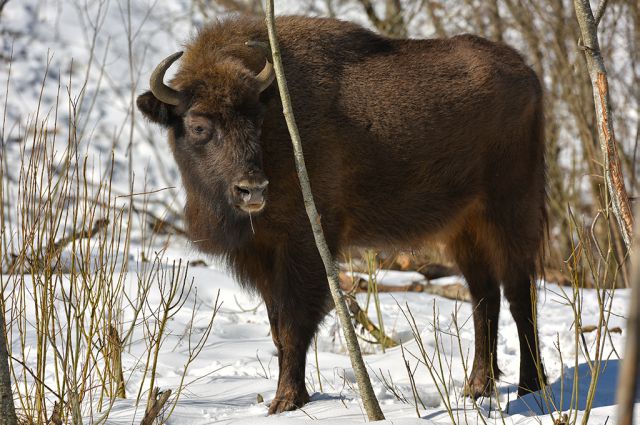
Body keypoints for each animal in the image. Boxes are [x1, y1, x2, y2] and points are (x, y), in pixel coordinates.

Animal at [138, 14, 548, 412]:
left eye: (255, 119)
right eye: (198, 125)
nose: (251, 189)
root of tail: (529, 74)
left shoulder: (306, 246)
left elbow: (294, 324)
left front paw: (286, 401)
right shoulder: (262, 255)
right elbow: (277, 328)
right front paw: (286, 397)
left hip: (511, 211)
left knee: (519, 294)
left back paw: (529, 388)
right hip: (464, 228)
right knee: (484, 297)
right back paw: (476, 388)